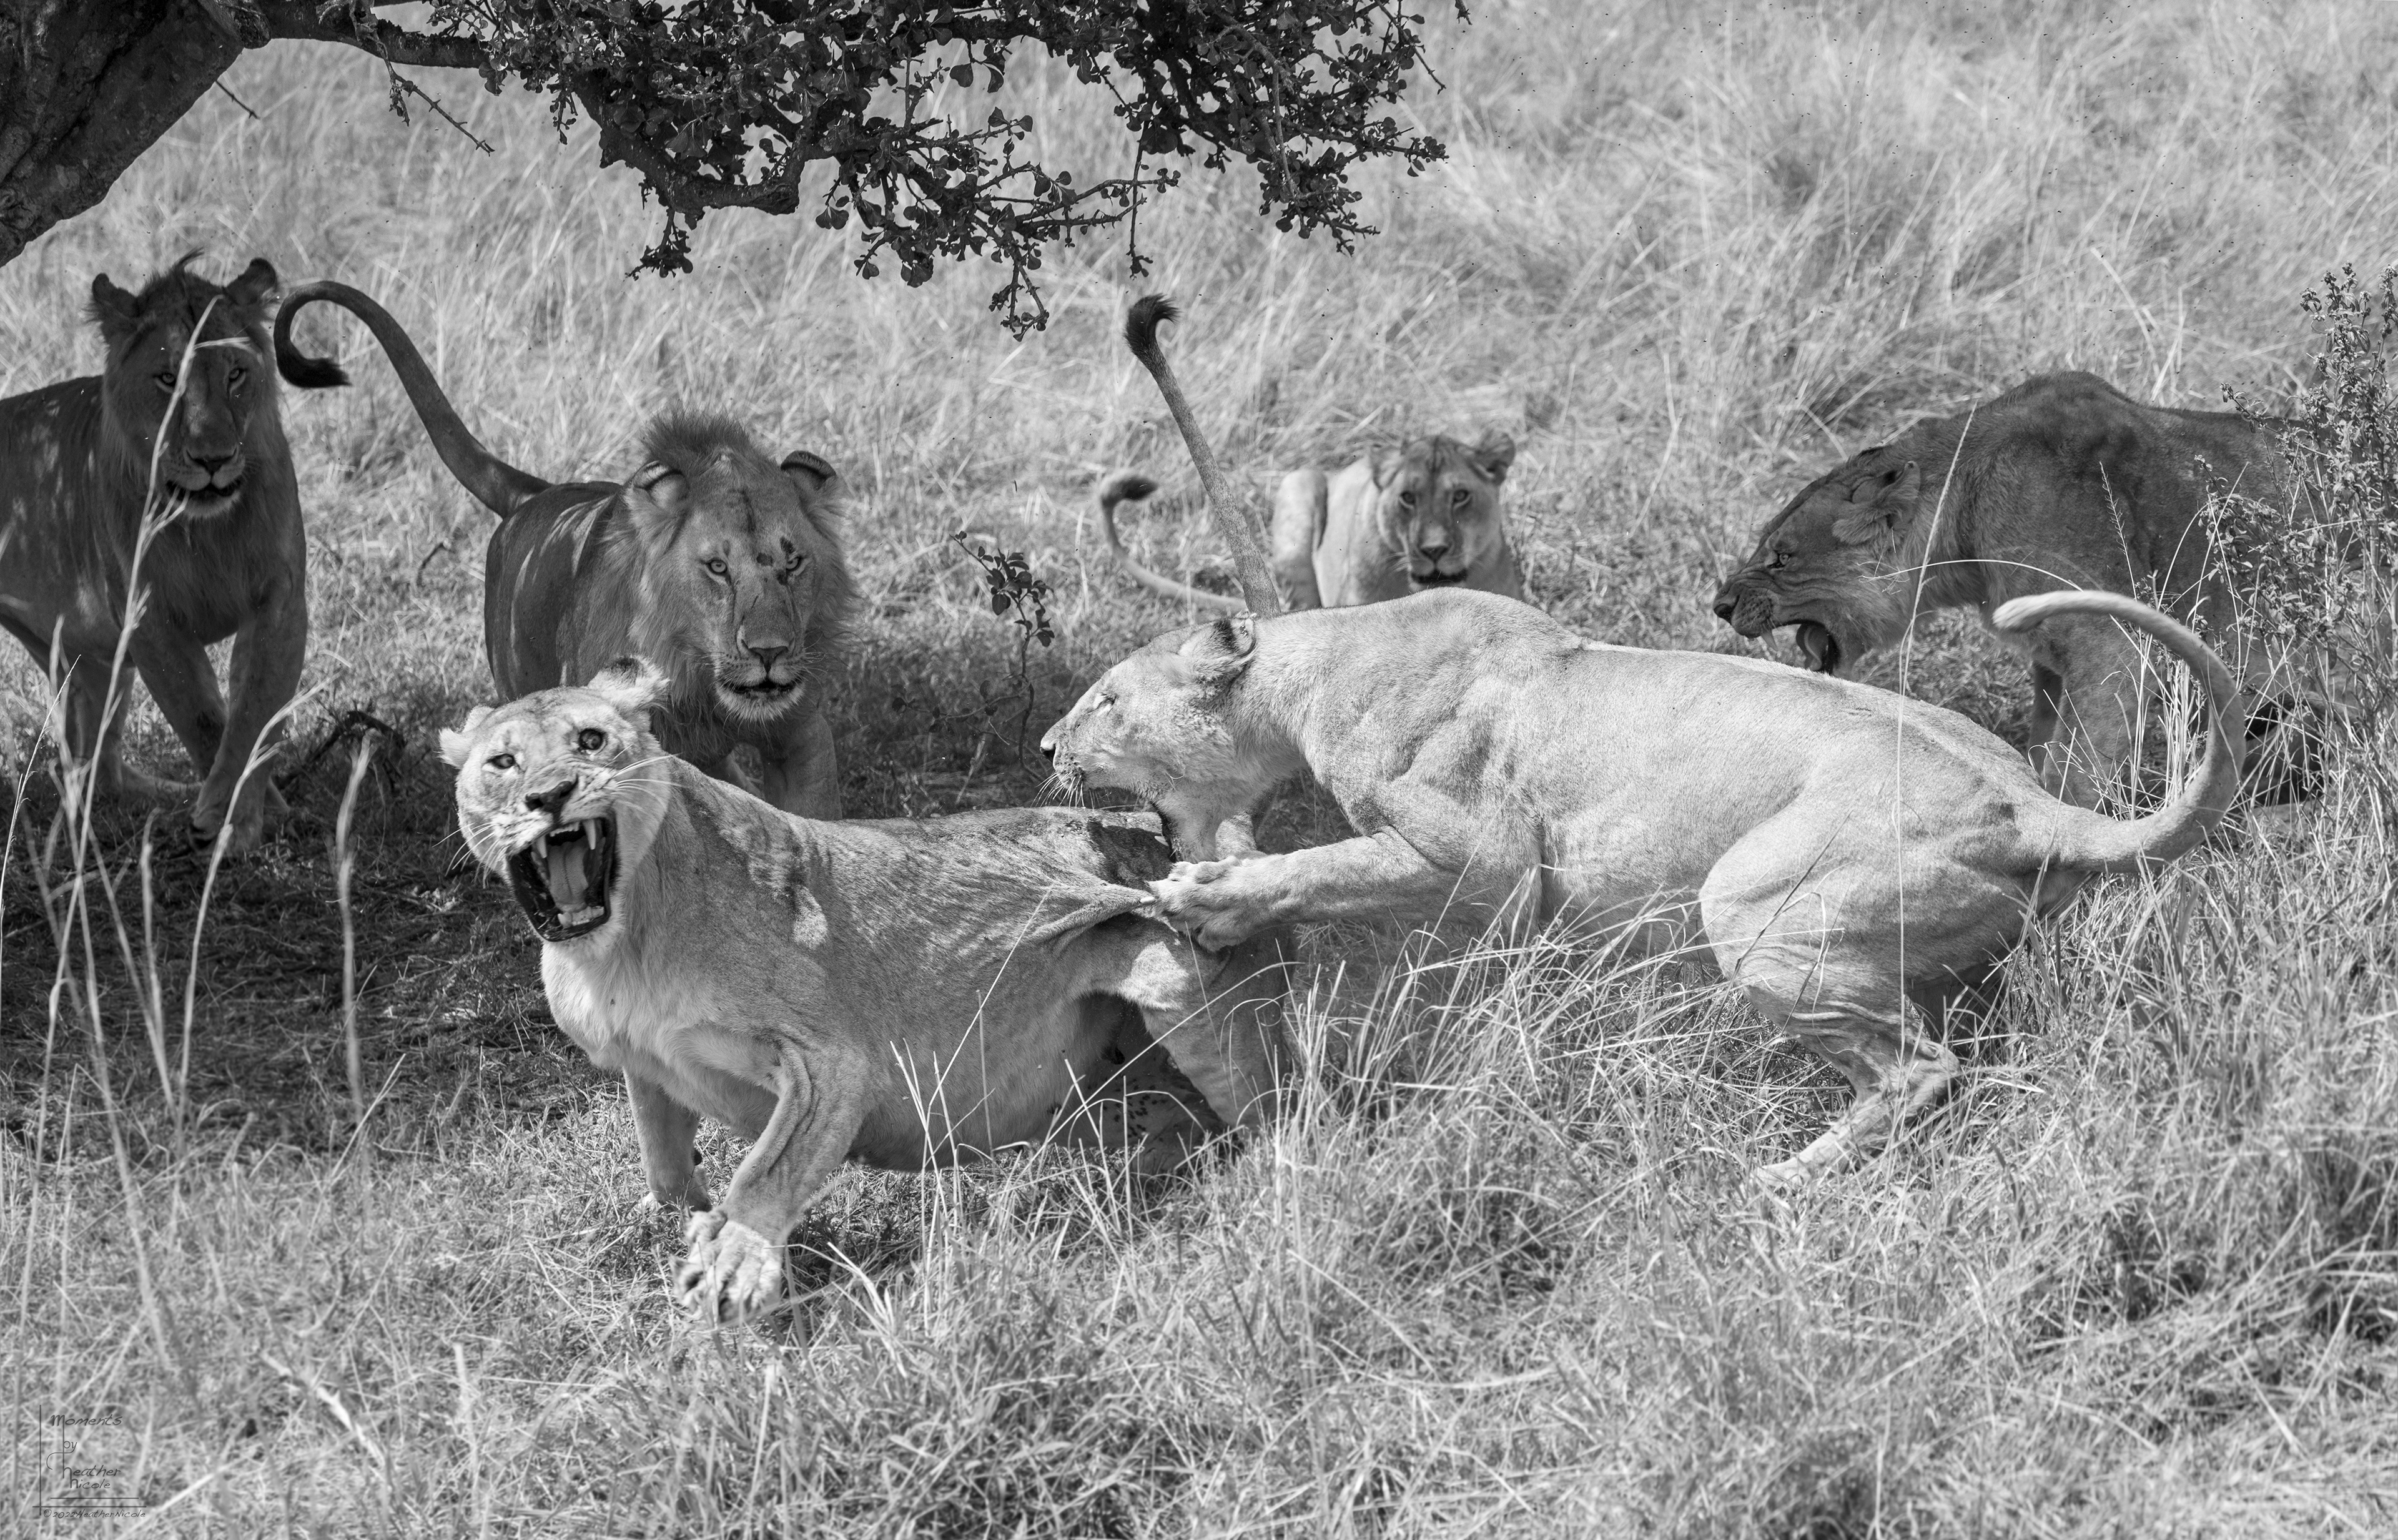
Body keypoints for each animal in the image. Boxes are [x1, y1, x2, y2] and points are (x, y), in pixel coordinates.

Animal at [0, 252, 324, 853]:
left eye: (235, 375)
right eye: (168, 379)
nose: (213, 459)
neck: (207, 529)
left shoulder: (281, 601)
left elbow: (255, 712)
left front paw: (239, 814)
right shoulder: (150, 622)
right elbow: (203, 717)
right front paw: (236, 816)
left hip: (87, 658)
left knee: (95, 770)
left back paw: (167, 793)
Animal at [275, 282, 854, 817]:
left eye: (793, 563)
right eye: (717, 568)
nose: (769, 653)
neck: (700, 683)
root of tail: (534, 496)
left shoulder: (800, 736)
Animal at [445, 659, 1289, 1322]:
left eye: (590, 742)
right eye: (502, 763)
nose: (551, 795)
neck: (616, 945)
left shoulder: (831, 1062)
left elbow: (769, 1168)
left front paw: (733, 1261)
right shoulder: (643, 1064)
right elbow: (663, 1164)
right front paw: (669, 1225)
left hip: (1175, 976)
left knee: (1277, 1107)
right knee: (1176, 1130)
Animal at [1041, 585, 2239, 1187]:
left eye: (1105, 698)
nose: (1049, 748)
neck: (1307, 672)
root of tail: (2039, 806)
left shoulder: (1483, 863)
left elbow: (1320, 870)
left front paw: (1205, 897)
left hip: (1755, 906)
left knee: (1918, 1068)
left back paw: (1783, 1180)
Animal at [1710, 371, 2308, 806]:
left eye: (1782, 557)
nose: (1720, 605)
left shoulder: (2114, 648)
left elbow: (2076, 773)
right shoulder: (2052, 661)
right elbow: (2042, 746)